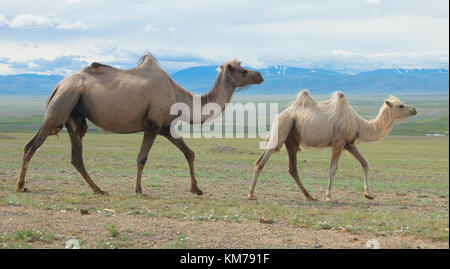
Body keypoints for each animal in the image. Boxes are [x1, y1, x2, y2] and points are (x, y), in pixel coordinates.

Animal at [15, 52, 264, 195]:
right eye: (243, 70)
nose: (260, 75)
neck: (179, 95)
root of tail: (58, 85)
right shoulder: (153, 124)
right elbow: (142, 158)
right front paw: (138, 189)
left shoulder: (166, 127)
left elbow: (189, 153)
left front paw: (196, 188)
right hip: (61, 106)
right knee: (31, 145)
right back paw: (20, 186)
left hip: (74, 116)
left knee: (76, 157)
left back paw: (98, 189)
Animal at [248, 90, 416, 201]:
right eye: (400, 106)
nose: (414, 109)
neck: (359, 124)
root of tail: (278, 117)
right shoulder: (338, 142)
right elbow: (332, 169)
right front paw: (329, 196)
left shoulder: (349, 144)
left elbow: (365, 163)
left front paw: (369, 194)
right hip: (282, 129)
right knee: (261, 161)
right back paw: (251, 194)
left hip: (291, 140)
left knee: (292, 169)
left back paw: (310, 196)